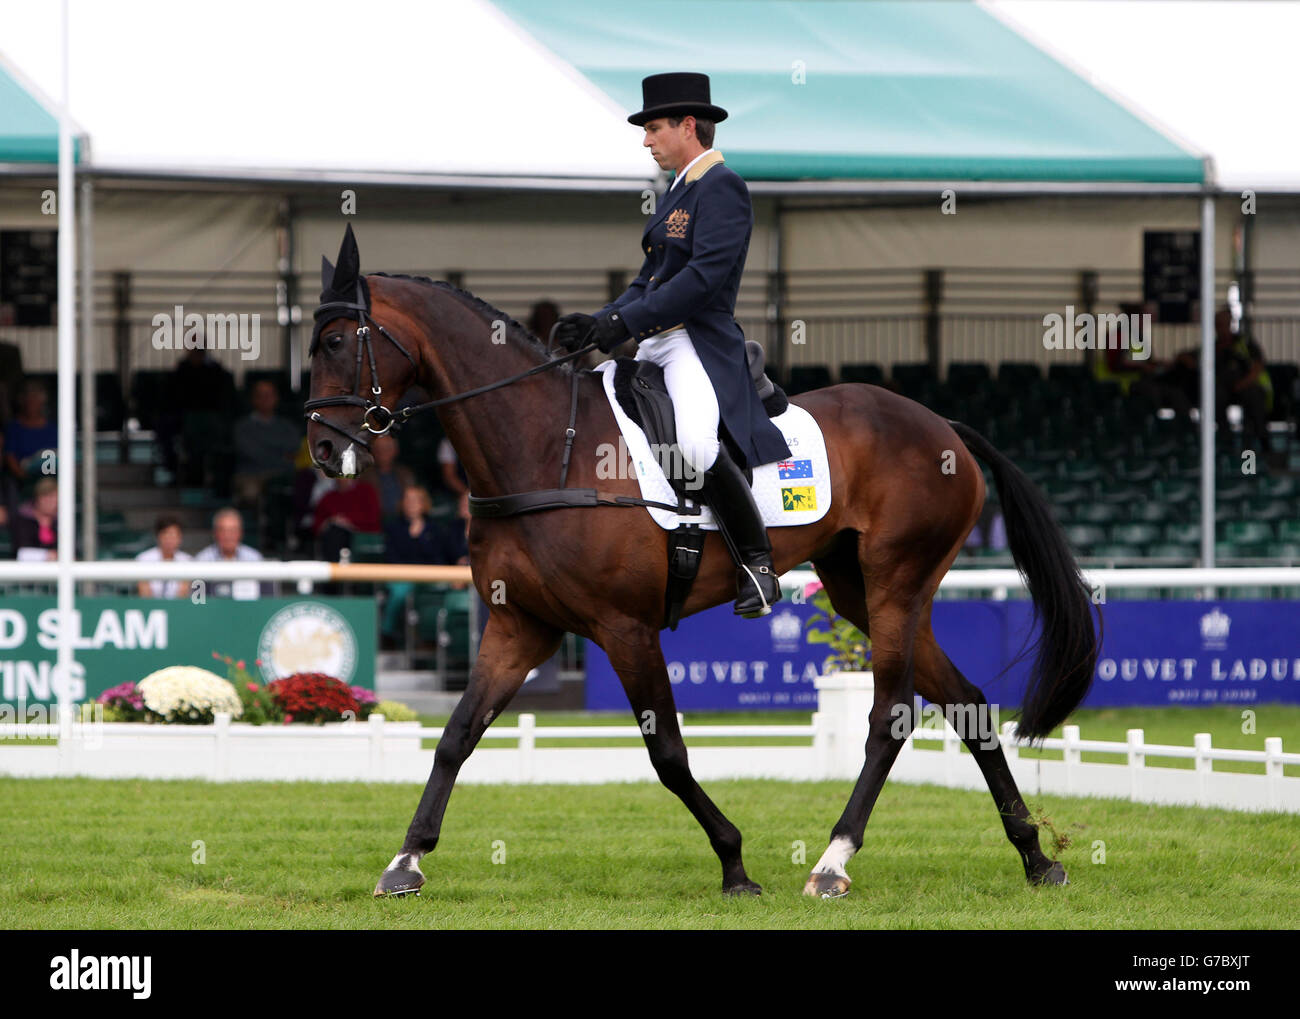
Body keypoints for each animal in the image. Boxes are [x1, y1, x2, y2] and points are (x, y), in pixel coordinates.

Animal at [305, 228, 1100, 900]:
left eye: (338, 341)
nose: (323, 449)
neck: (545, 446)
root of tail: (945, 427)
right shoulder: (518, 626)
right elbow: (456, 737)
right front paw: (405, 862)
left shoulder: (624, 627)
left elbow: (668, 754)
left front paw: (735, 863)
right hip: (859, 591)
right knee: (969, 705)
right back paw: (1036, 858)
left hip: (897, 584)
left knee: (891, 714)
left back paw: (833, 861)